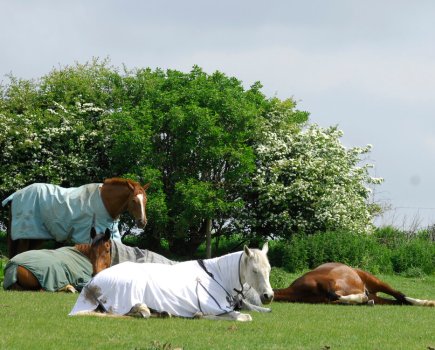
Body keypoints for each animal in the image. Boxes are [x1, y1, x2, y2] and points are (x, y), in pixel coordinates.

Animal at [2, 178, 151, 258]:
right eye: (133, 200)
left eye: (145, 200)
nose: (142, 222)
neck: (105, 202)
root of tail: (16, 194)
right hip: (25, 235)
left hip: (37, 237)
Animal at [70, 242, 274, 322]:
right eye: (255, 271)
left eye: (269, 270)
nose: (269, 296)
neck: (217, 276)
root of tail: (92, 282)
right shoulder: (215, 308)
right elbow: (241, 317)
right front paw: (199, 315)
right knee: (130, 312)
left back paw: (162, 313)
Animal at [274, 262, 435, 306]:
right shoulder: (326, 300)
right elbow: (336, 299)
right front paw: (362, 299)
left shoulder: (328, 283)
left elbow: (333, 295)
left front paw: (361, 298)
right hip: (377, 297)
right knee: (398, 301)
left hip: (376, 281)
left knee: (400, 295)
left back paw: (427, 302)